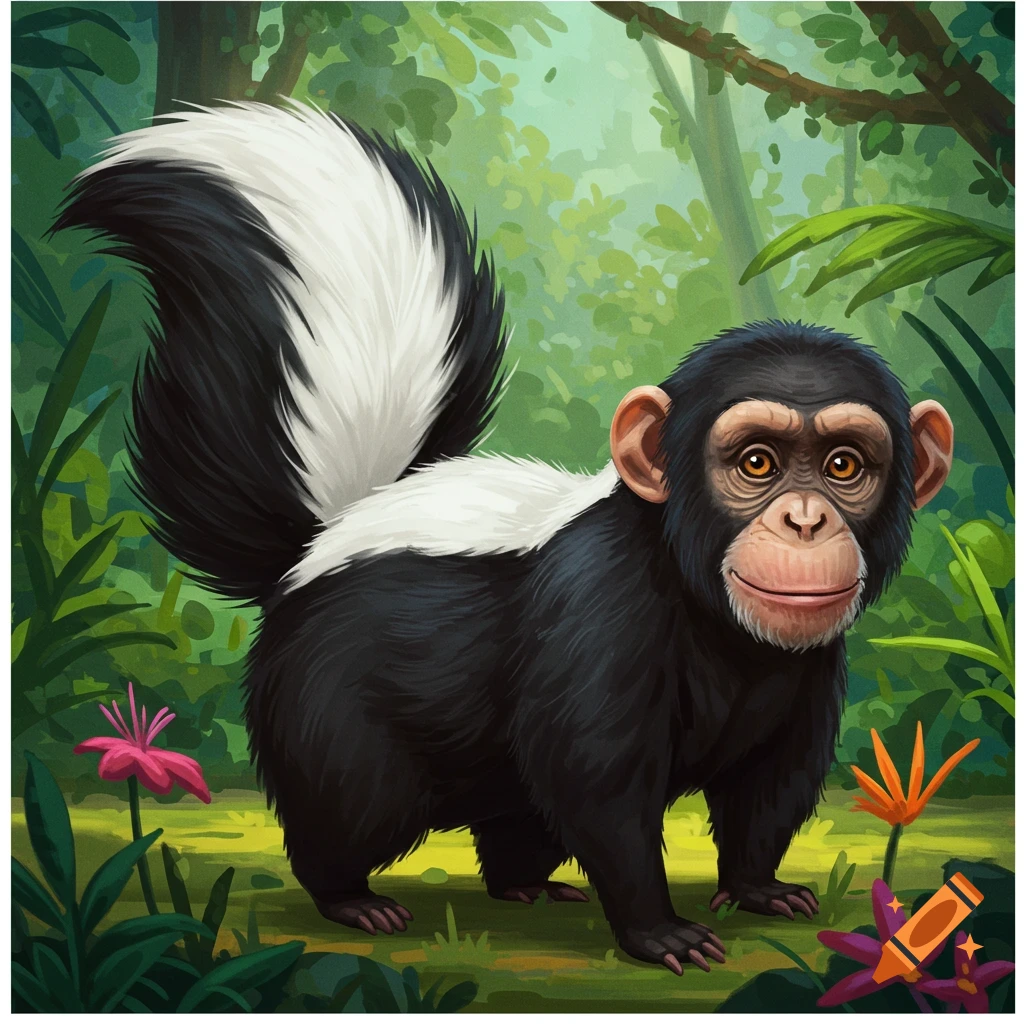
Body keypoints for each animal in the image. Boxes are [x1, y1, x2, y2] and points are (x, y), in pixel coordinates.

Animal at [55, 102, 954, 974]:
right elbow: (600, 782)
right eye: (757, 463)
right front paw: (661, 932)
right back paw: (354, 899)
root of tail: (329, 529)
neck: (722, 632)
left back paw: (527, 886)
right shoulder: (598, 613)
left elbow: (772, 784)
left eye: (843, 466)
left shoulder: (804, 664)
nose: (804, 522)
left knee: (516, 810)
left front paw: (760, 889)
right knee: (350, 799)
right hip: (328, 698)